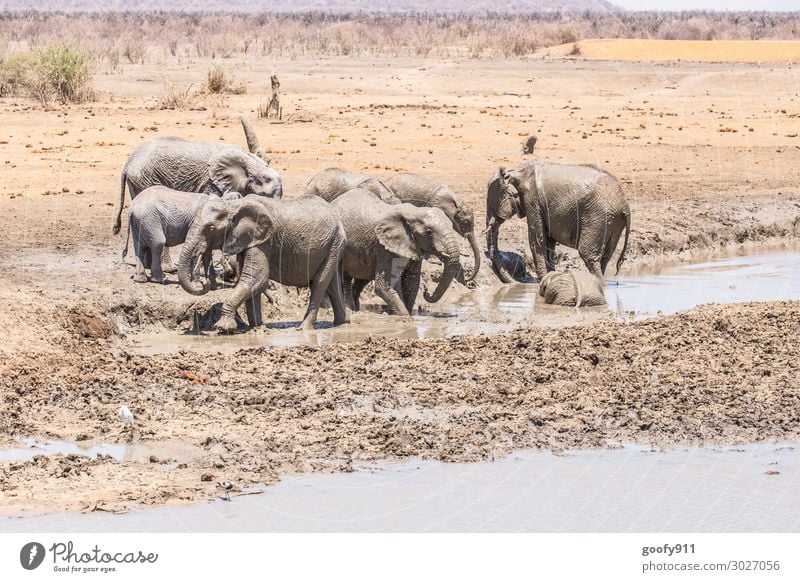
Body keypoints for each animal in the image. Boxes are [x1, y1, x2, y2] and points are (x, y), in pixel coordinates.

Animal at [112, 117, 282, 274]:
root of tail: (128, 162)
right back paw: (169, 269)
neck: (247, 161)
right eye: (263, 191)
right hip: (145, 179)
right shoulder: (212, 184)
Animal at [178, 195, 346, 336]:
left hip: (334, 242)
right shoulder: (246, 241)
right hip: (332, 246)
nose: (203, 282)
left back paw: (304, 328)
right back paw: (342, 323)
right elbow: (250, 281)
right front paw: (256, 328)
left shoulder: (263, 241)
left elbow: (256, 278)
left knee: (319, 283)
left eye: (211, 228)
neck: (233, 205)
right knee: (332, 285)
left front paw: (224, 328)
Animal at [332, 189, 462, 318]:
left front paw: (404, 313)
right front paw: (404, 316)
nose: (426, 291)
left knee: (362, 278)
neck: (413, 212)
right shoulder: (385, 247)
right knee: (345, 279)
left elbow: (412, 282)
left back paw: (357, 309)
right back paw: (350, 310)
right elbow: (384, 285)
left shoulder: (412, 245)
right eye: (429, 232)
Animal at [482, 162, 632, 282]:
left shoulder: (533, 201)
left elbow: (537, 240)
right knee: (606, 257)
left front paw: (543, 280)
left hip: (597, 215)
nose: (513, 282)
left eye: (491, 204)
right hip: (614, 220)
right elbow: (549, 241)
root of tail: (625, 205)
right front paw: (550, 278)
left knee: (588, 255)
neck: (516, 172)